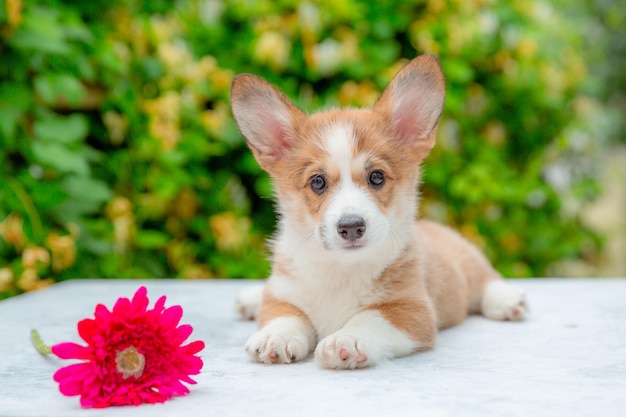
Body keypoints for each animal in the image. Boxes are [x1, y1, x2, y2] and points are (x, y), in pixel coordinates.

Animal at [229, 54, 528, 368]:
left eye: (377, 177)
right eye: (317, 181)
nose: (351, 226)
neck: (341, 270)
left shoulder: (410, 309)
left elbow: (369, 318)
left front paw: (346, 340)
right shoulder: (281, 296)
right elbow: (285, 315)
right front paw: (274, 336)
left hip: (468, 262)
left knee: (485, 278)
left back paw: (506, 299)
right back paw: (251, 298)